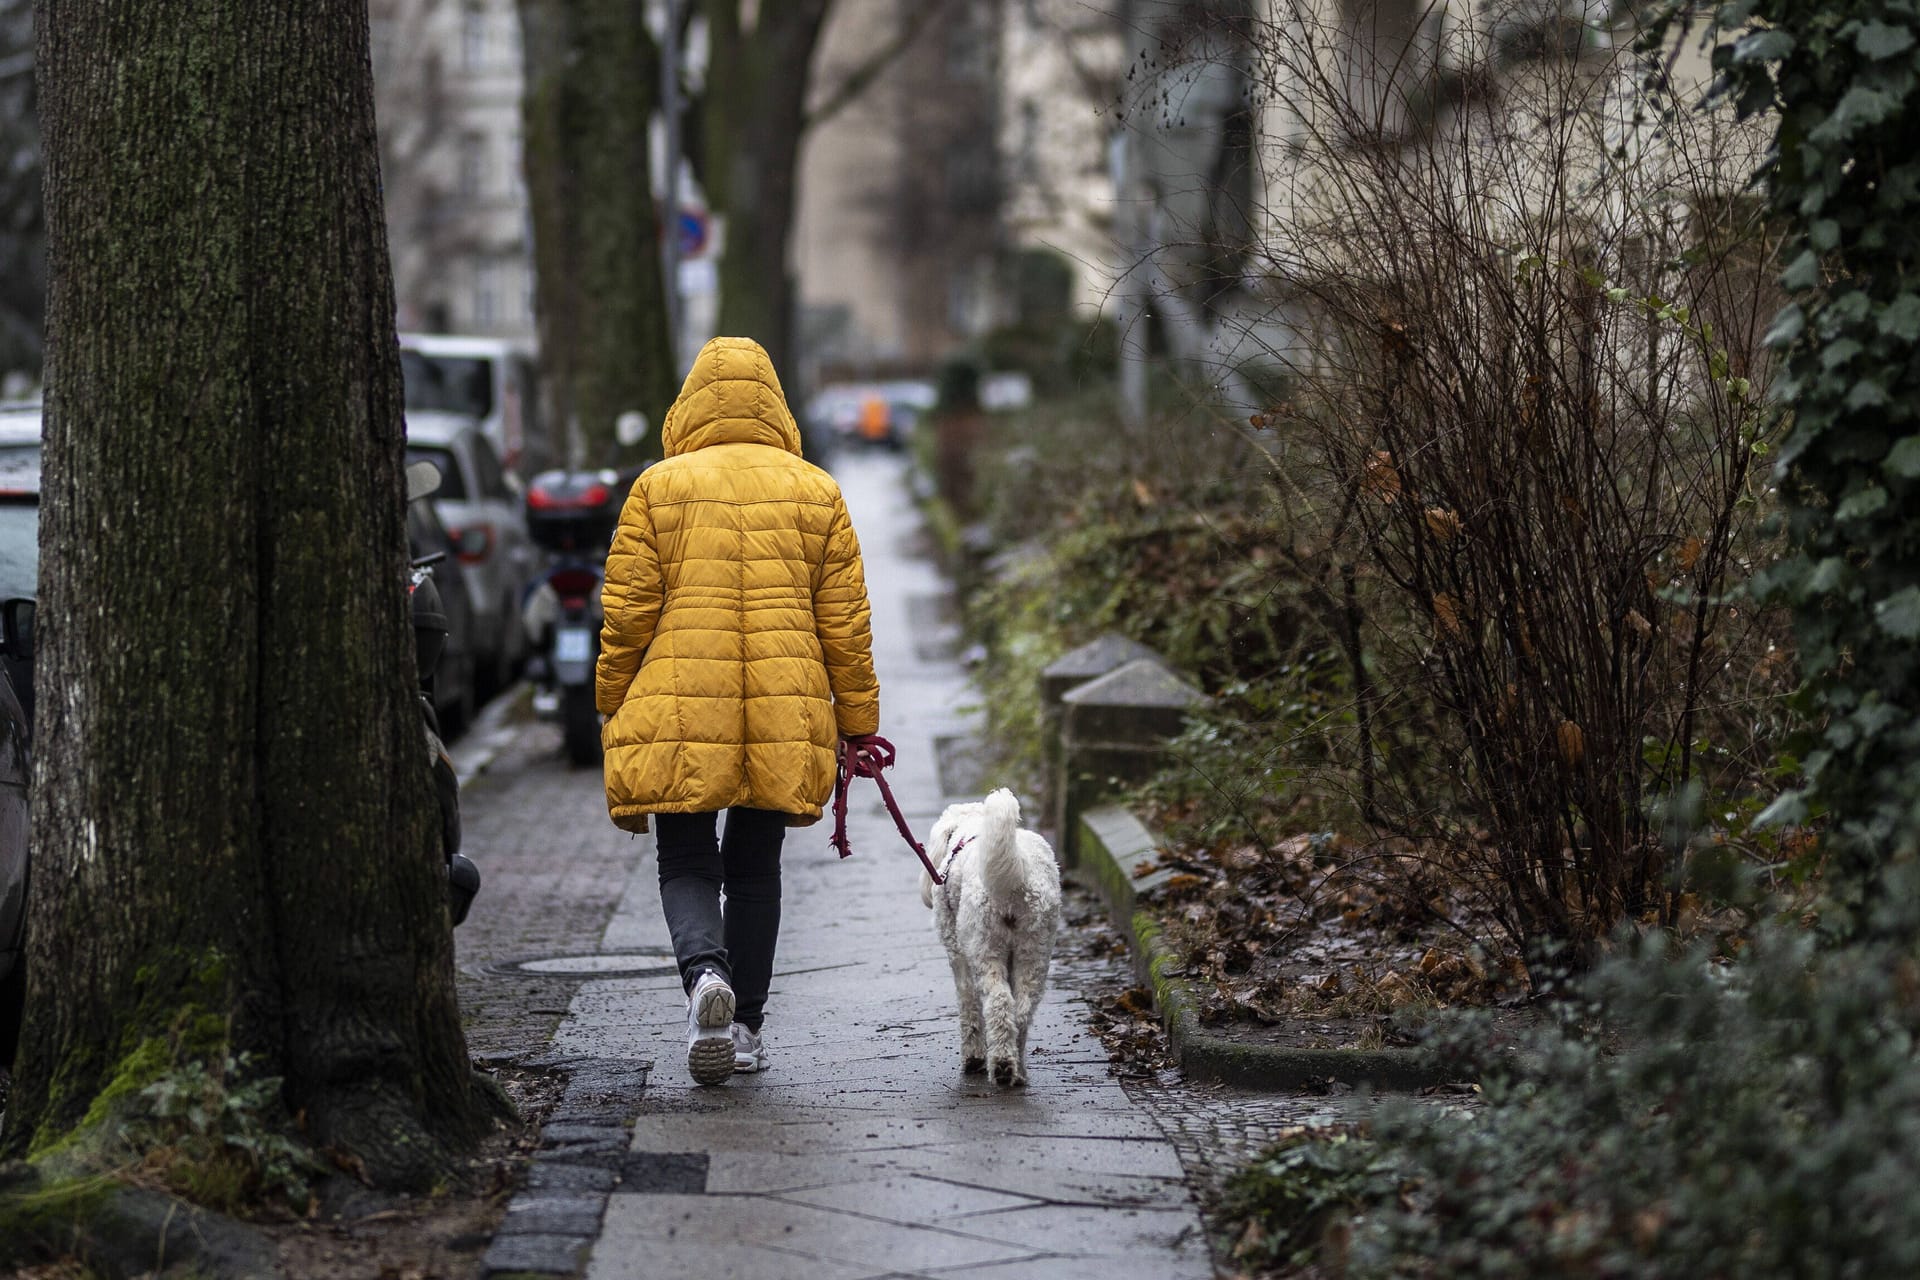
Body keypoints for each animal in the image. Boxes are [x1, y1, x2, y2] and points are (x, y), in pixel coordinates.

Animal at [917, 786, 1067, 1090]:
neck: (971, 830)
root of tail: (1018, 881)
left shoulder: (958, 955)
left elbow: (969, 1007)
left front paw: (973, 1057)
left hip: (984, 947)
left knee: (998, 1001)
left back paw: (1001, 1066)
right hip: (1034, 949)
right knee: (1020, 1010)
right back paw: (1017, 1070)